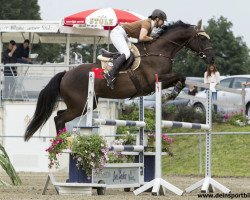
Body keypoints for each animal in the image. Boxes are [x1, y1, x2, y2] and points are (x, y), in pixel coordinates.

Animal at [23, 20, 215, 141]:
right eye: (202, 38)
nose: (212, 59)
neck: (160, 51)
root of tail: (65, 74)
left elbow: (182, 77)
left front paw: (171, 94)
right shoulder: (153, 81)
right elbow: (180, 76)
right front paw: (170, 95)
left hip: (87, 103)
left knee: (59, 115)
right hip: (79, 105)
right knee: (59, 119)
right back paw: (62, 142)